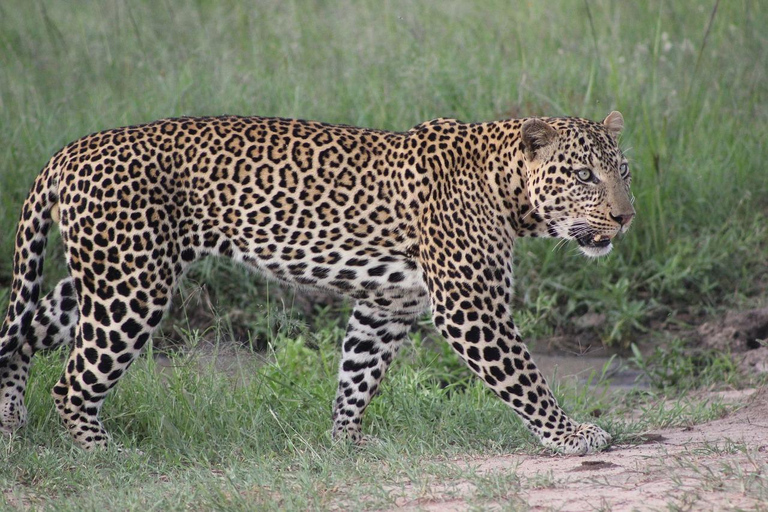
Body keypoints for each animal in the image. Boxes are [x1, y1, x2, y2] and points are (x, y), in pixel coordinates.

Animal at [0, 111, 632, 452]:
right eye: (583, 175)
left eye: (622, 170)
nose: (626, 218)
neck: (507, 189)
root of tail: (70, 152)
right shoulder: (469, 306)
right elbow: (525, 379)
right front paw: (571, 434)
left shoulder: (387, 303)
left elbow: (358, 373)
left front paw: (346, 440)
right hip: (130, 288)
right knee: (71, 384)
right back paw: (106, 455)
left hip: (104, 278)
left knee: (23, 334)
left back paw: (10, 424)